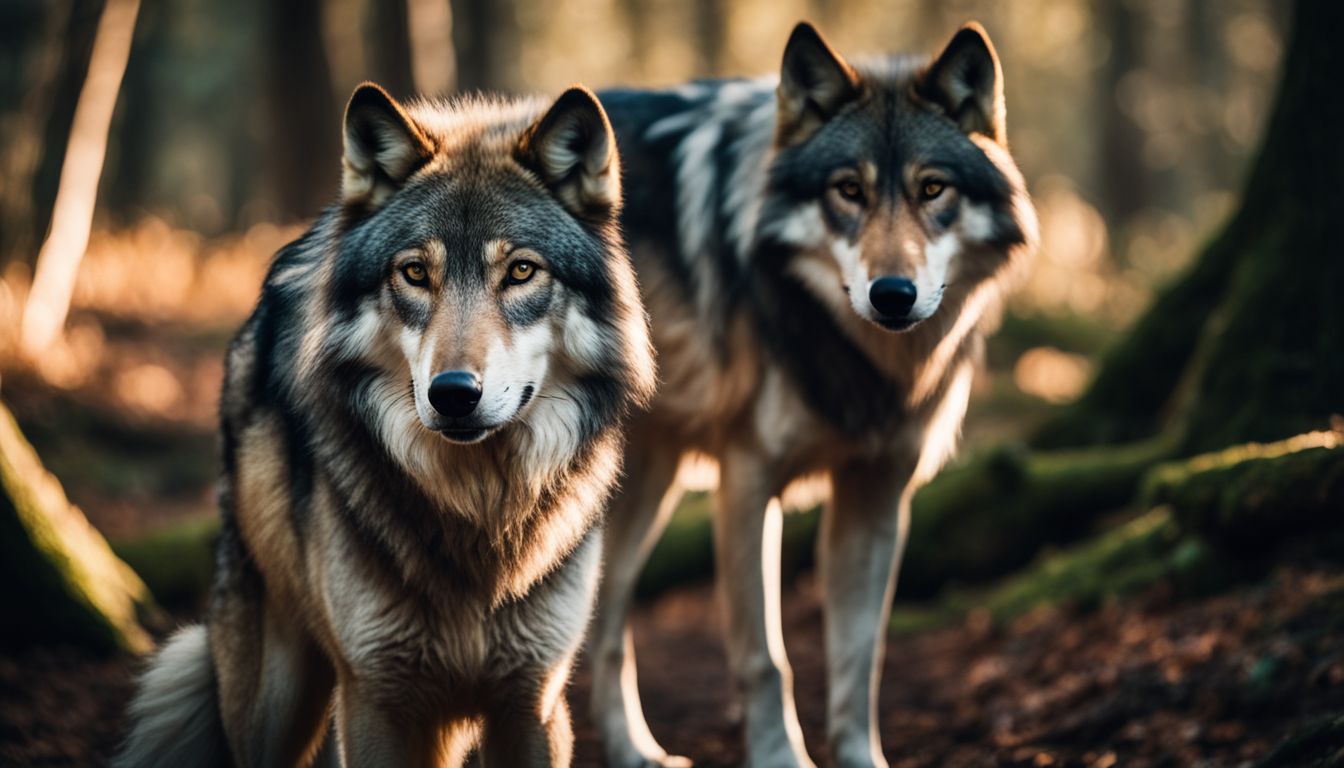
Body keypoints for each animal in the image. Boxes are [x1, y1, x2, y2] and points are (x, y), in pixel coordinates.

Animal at [116, 82, 656, 767]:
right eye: (416, 272)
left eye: (521, 271)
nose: (453, 394)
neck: (476, 512)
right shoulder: (375, 697)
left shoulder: (532, 701)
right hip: (277, 695)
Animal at [590, 22, 1038, 767]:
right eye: (848, 190)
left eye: (932, 188)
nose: (893, 294)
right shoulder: (747, 481)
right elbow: (767, 659)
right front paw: (779, 756)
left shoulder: (877, 494)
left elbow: (860, 656)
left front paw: (862, 758)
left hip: (647, 489)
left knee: (603, 629)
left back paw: (633, 751)